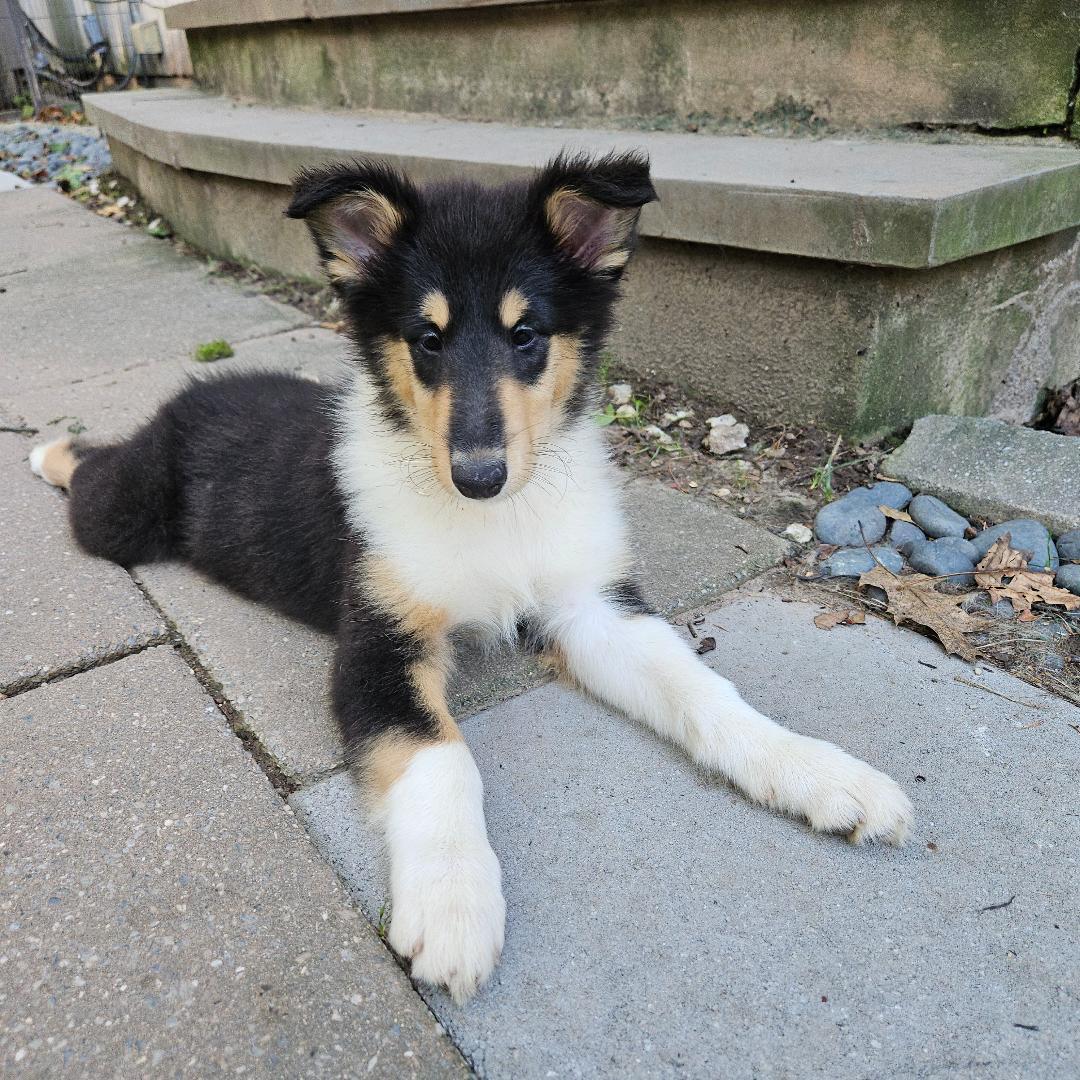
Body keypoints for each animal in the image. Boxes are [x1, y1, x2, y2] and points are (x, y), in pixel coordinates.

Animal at [30, 152, 912, 1002]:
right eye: (427, 338)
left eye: (528, 336)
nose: (479, 475)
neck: (498, 522)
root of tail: (190, 393)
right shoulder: (378, 644)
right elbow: (440, 754)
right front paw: (453, 909)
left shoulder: (594, 607)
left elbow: (702, 690)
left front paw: (819, 772)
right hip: (122, 517)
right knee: (92, 475)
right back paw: (48, 448)